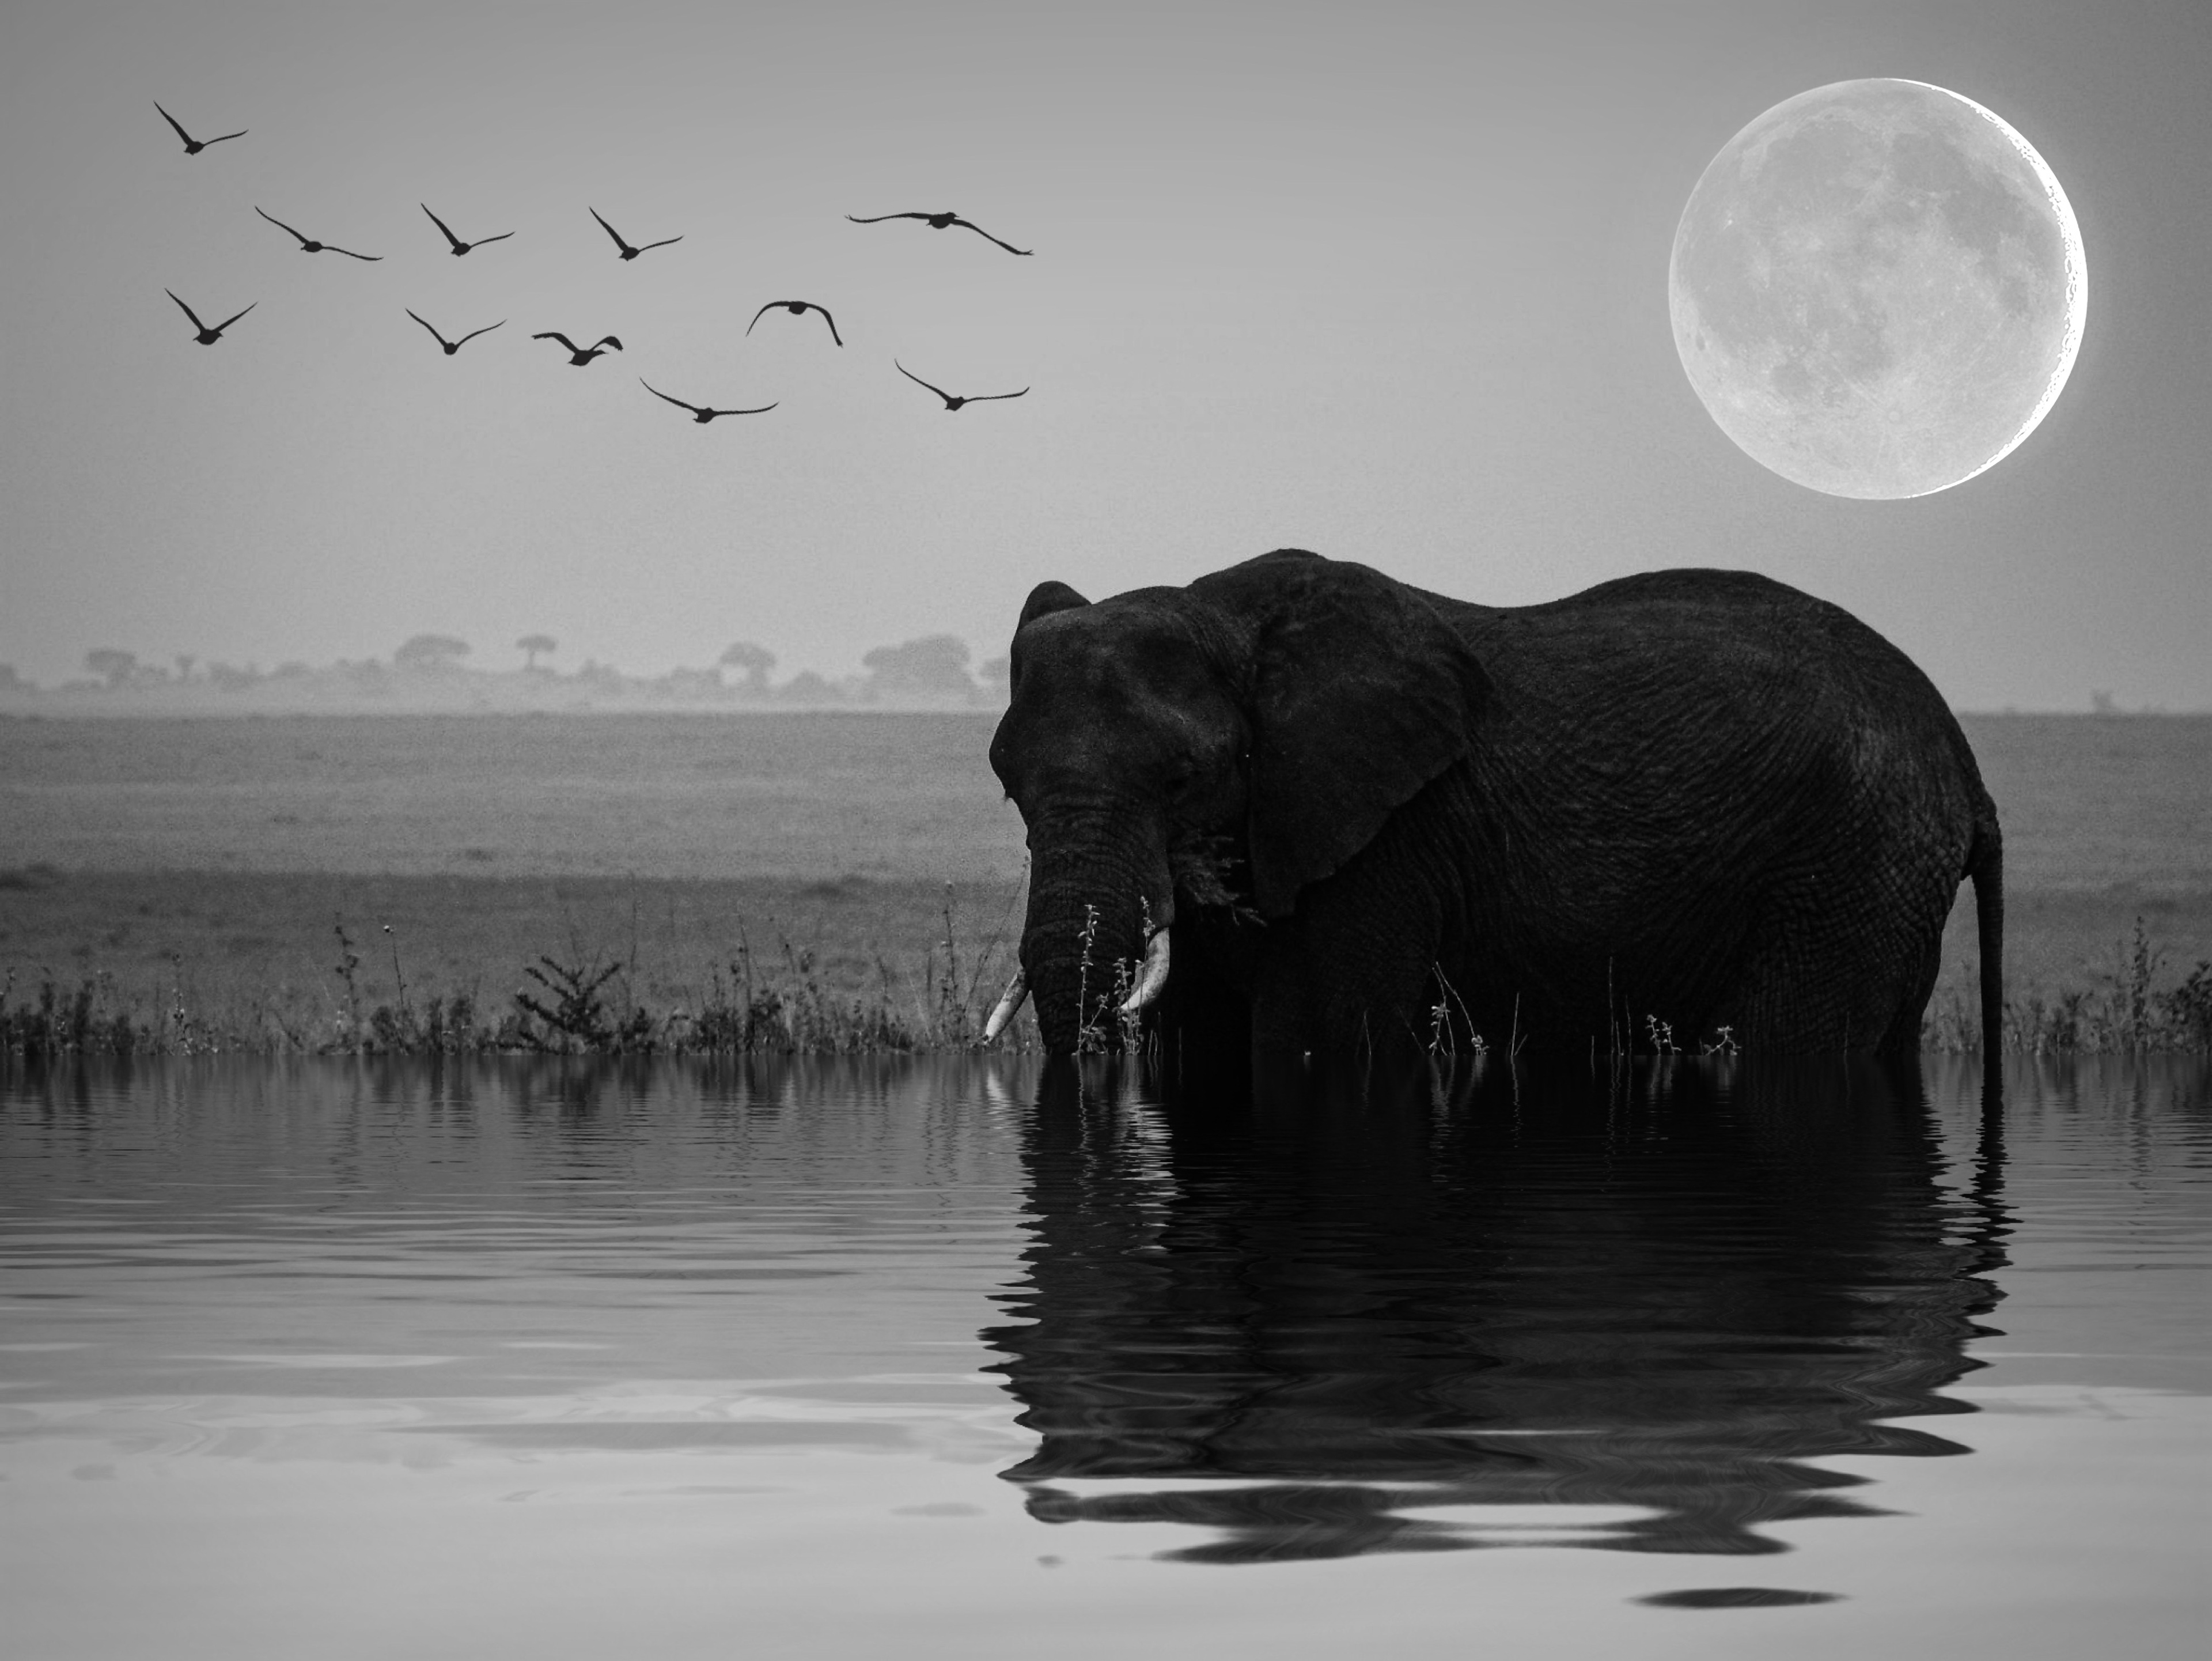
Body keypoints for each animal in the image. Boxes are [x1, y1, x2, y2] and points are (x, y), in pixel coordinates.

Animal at [984, 549, 2003, 1064]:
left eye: (1182, 777)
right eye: (1006, 782)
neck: (1230, 619)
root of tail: (1959, 746)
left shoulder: (1387, 833)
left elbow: (1314, 1032)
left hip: (1849, 864)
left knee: (1793, 1042)